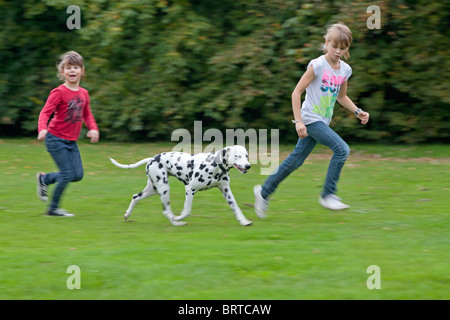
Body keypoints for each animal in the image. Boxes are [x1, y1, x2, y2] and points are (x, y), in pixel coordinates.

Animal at [110, 146, 253, 226]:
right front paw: (179, 217)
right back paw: (176, 222)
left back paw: (127, 215)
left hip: (153, 190)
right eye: (237, 156)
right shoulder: (190, 189)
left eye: (246, 155)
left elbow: (236, 207)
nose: (248, 166)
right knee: (166, 210)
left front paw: (244, 221)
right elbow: (187, 210)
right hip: (164, 188)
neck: (215, 165)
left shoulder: (226, 190)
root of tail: (152, 158)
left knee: (135, 197)